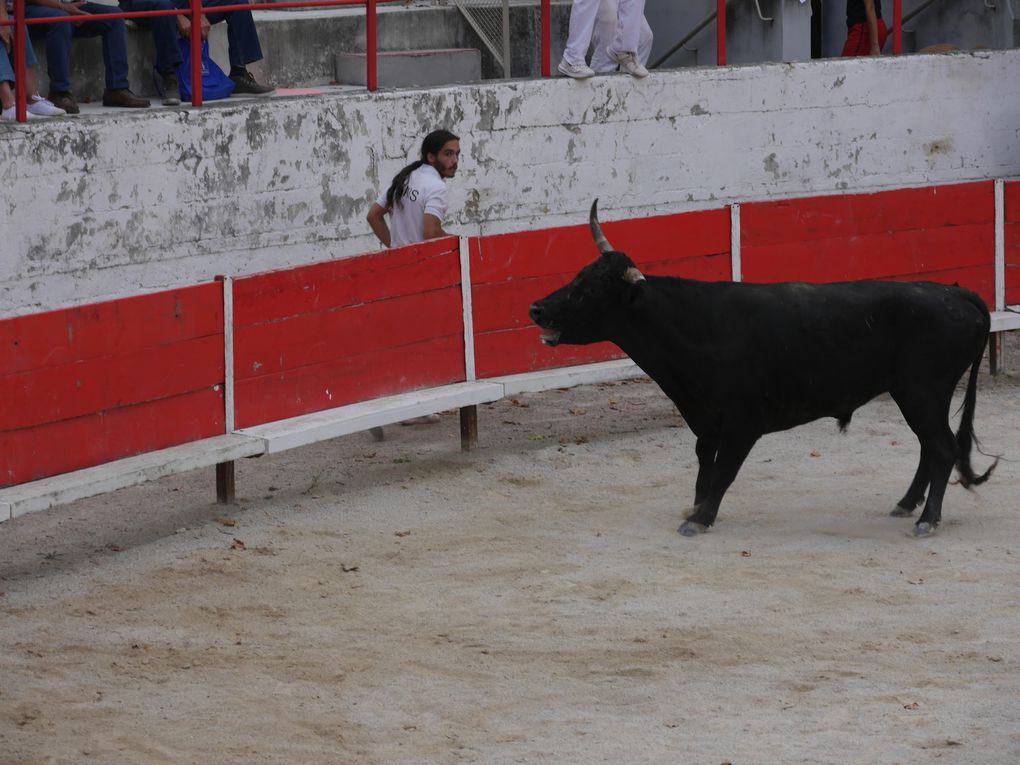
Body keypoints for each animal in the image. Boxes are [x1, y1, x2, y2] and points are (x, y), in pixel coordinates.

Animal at [530, 204, 991, 538]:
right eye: (578, 275)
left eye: (592, 290)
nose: (536, 308)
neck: (699, 327)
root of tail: (958, 294)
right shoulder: (705, 421)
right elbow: (705, 466)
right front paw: (696, 508)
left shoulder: (743, 423)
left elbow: (724, 471)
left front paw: (700, 519)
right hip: (913, 394)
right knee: (931, 447)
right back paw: (906, 505)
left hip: (923, 391)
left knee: (942, 448)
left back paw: (927, 519)